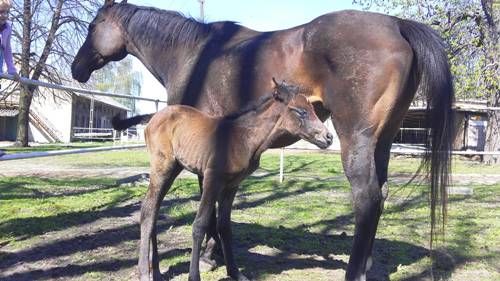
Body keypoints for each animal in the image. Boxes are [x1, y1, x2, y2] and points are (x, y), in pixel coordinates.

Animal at [139, 79, 332, 280]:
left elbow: (224, 227)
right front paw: (194, 276)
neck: (243, 138)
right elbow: (200, 224)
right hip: (163, 168)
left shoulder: (232, 186)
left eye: (312, 110)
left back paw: (156, 272)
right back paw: (145, 272)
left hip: (173, 168)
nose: (328, 137)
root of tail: (152, 120)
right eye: (301, 111)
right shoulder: (211, 179)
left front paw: (235, 272)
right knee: (148, 211)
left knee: (154, 210)